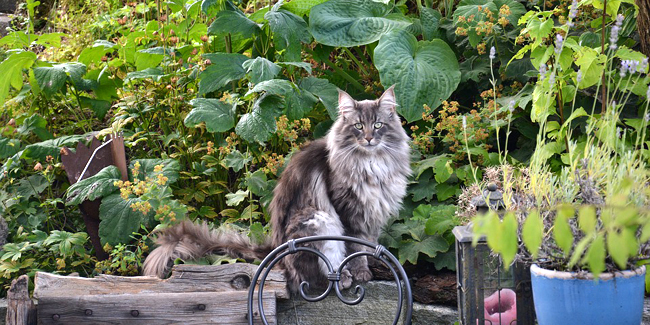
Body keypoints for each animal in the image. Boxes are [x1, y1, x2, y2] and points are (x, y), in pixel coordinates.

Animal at [144, 86, 412, 292]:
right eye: (358, 126)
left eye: (377, 125)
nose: (368, 138)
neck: (372, 164)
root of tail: (275, 248)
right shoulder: (347, 211)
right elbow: (354, 247)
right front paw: (359, 273)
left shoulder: (373, 213)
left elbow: (367, 245)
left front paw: (371, 267)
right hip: (319, 219)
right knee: (316, 275)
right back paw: (342, 279)